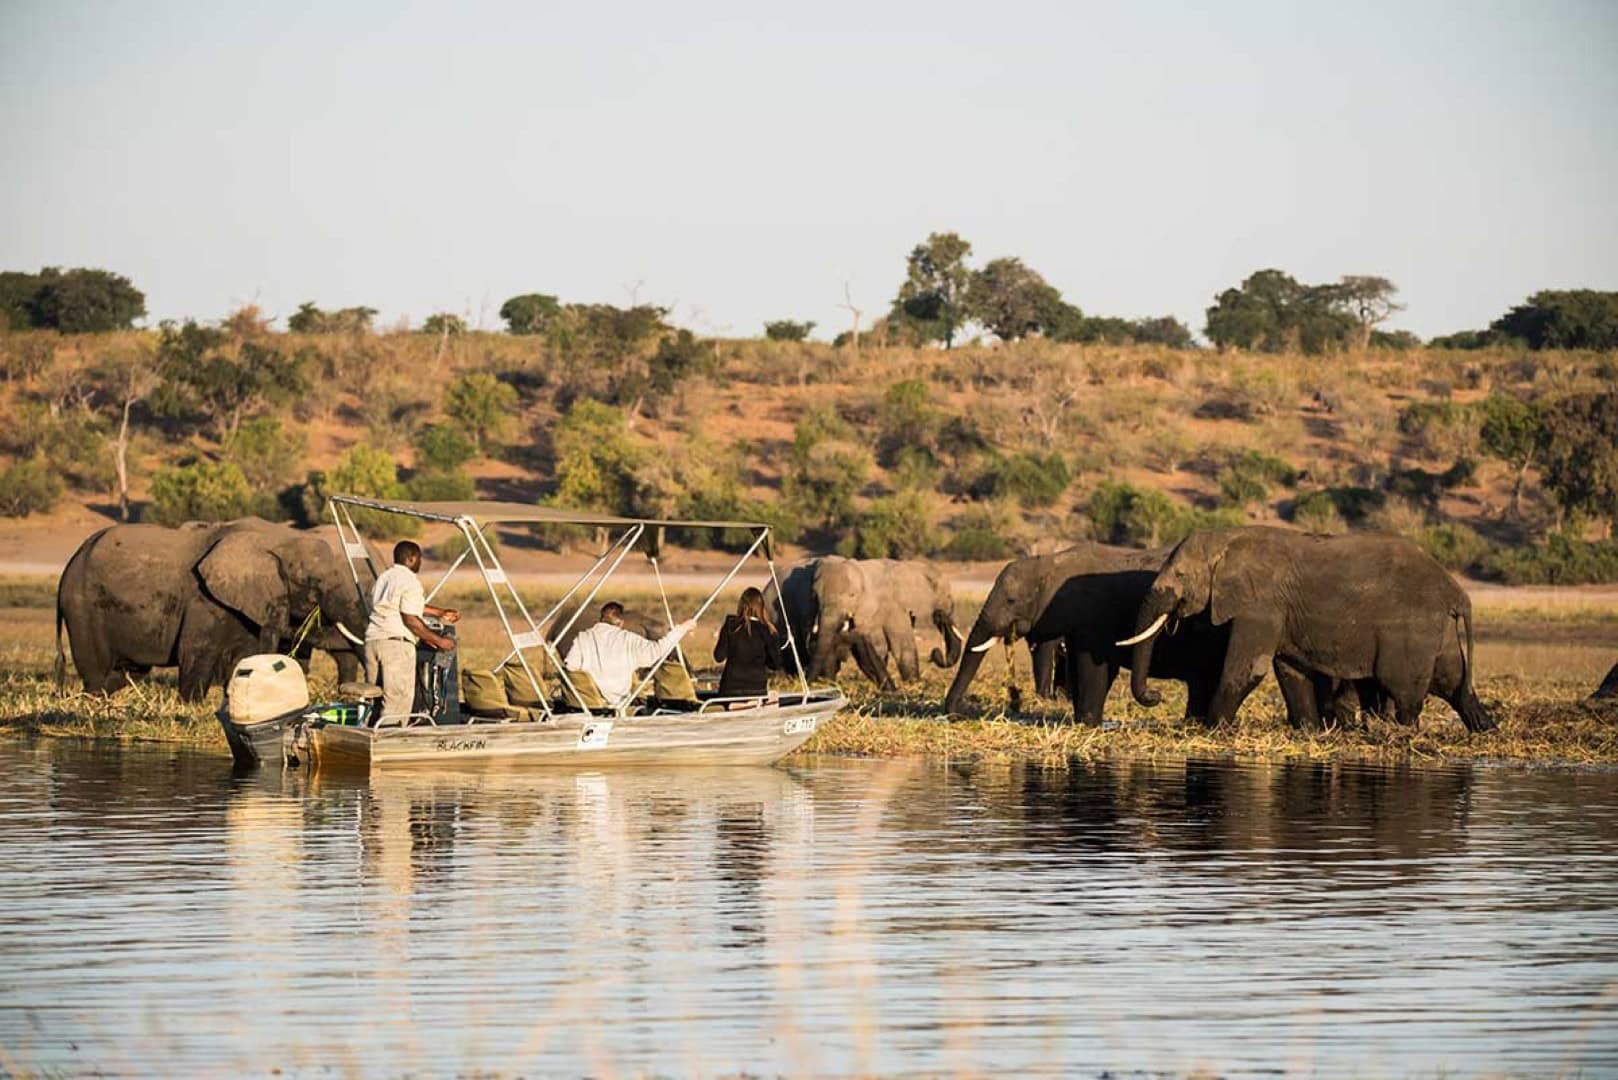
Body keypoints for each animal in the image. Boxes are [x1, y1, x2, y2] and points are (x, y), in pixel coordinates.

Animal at [56, 518, 373, 701]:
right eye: (314, 583)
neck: (277, 541)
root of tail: (69, 563)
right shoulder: (204, 599)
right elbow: (195, 652)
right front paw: (192, 705)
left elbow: (244, 659)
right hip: (83, 608)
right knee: (96, 670)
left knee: (126, 672)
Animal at [769, 557, 962, 689]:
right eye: (815, 595)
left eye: (852, 595)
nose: (934, 653)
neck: (909, 567)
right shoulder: (892, 607)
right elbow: (900, 646)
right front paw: (912, 683)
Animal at [1125, 526, 1493, 732]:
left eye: (1180, 575)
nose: (1155, 696)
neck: (1227, 539)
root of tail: (1456, 591)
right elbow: (1291, 670)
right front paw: (1309, 731)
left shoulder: (1260, 605)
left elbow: (1249, 668)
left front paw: (1211, 729)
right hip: (1436, 630)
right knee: (1452, 680)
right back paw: (1485, 729)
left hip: (1411, 631)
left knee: (1404, 690)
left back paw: (1402, 734)